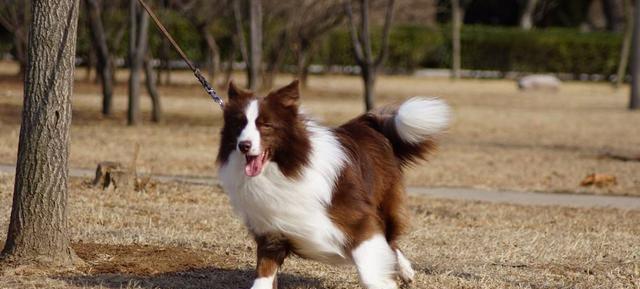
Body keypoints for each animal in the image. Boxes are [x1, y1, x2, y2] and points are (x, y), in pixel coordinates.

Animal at [220, 79, 450, 288]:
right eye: (239, 125)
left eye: (266, 125)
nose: (244, 145)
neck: (288, 168)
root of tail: (368, 124)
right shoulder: (272, 231)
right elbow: (264, 274)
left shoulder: (359, 220)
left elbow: (370, 271)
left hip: (385, 203)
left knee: (390, 239)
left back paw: (405, 270)